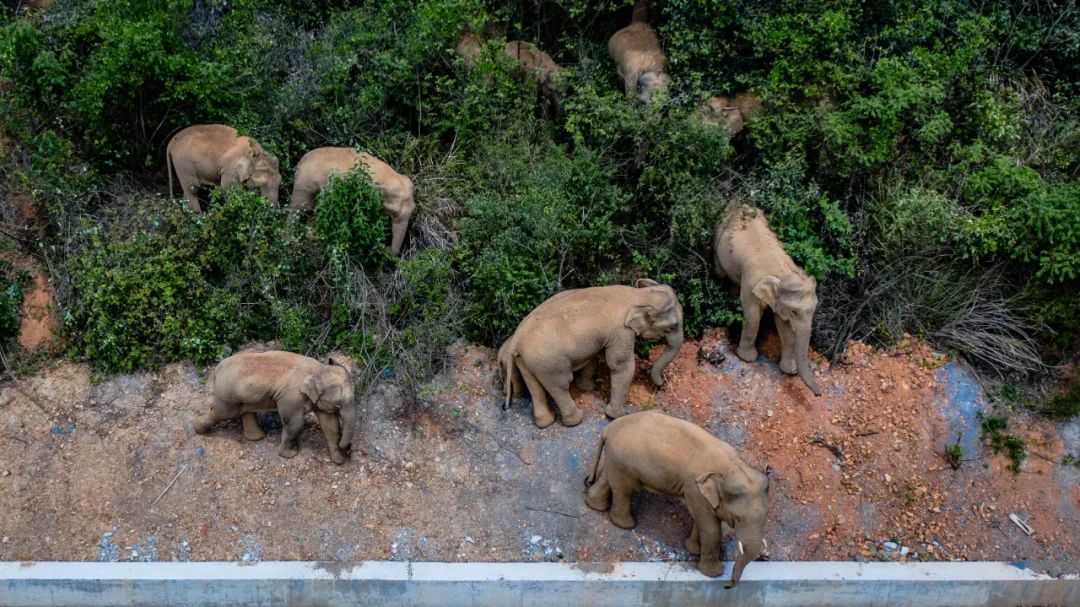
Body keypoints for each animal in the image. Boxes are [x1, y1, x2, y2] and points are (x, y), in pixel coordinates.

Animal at [192, 349, 356, 462]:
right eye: (339, 404)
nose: (349, 450)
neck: (319, 368)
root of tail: (217, 368)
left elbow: (330, 425)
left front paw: (338, 461)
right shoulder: (291, 397)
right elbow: (295, 423)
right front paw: (290, 455)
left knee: (244, 411)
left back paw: (257, 437)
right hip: (227, 393)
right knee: (221, 412)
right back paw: (197, 428)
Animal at [496, 278, 682, 425]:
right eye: (672, 326)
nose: (661, 384)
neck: (638, 294)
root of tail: (516, 340)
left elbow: (593, 357)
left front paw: (588, 388)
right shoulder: (621, 332)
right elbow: (621, 366)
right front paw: (617, 415)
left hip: (527, 361)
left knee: (535, 387)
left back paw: (545, 422)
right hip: (548, 363)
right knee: (560, 385)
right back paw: (576, 420)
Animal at [587, 408, 773, 583]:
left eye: (765, 517)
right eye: (738, 519)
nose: (727, 585)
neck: (733, 466)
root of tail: (610, 427)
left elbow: (701, 520)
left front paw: (693, 550)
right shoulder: (694, 488)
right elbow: (710, 528)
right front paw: (713, 574)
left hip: (617, 459)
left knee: (609, 479)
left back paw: (595, 505)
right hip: (624, 460)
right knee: (623, 489)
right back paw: (626, 525)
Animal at [717, 201, 816, 393]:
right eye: (794, 312)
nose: (817, 395)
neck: (782, 272)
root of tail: (737, 202)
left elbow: (784, 326)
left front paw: (789, 371)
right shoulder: (751, 284)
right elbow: (753, 316)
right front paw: (747, 358)